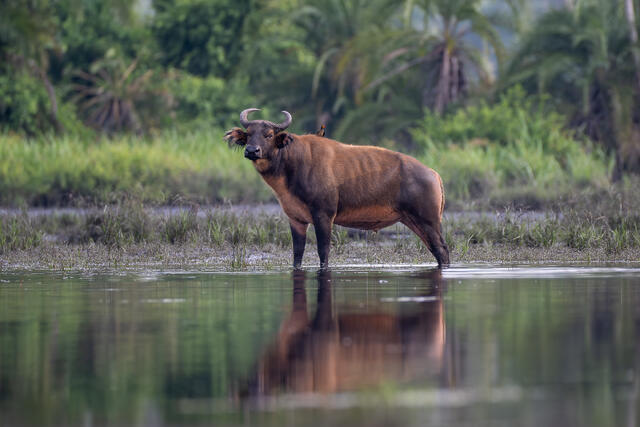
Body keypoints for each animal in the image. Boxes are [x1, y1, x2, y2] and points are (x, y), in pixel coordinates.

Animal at [224, 108, 449, 268]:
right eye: (249, 134)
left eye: (269, 135)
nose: (252, 150)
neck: (293, 163)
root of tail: (434, 174)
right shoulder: (296, 219)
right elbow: (297, 254)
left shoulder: (324, 215)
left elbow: (323, 251)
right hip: (413, 220)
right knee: (435, 250)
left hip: (428, 220)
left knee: (442, 249)